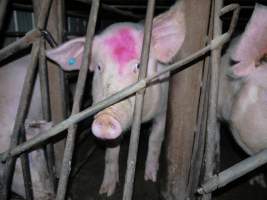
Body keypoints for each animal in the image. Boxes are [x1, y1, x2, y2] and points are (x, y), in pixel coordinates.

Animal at [46, 0, 186, 196]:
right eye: (99, 67)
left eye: (138, 66)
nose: (105, 118)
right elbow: (111, 154)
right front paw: (106, 191)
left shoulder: (163, 109)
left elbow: (156, 139)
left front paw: (150, 177)